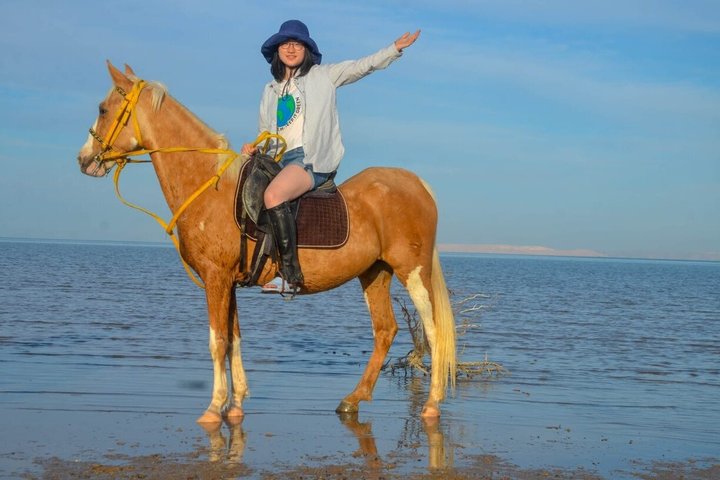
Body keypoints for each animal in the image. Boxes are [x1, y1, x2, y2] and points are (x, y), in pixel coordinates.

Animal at [76, 62, 456, 424]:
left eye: (103, 109)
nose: (84, 159)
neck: (209, 186)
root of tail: (417, 184)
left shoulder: (215, 279)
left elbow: (217, 341)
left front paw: (214, 407)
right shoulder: (228, 282)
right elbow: (234, 340)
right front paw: (235, 404)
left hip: (412, 272)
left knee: (434, 332)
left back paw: (431, 405)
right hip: (374, 273)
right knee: (385, 330)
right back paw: (352, 399)